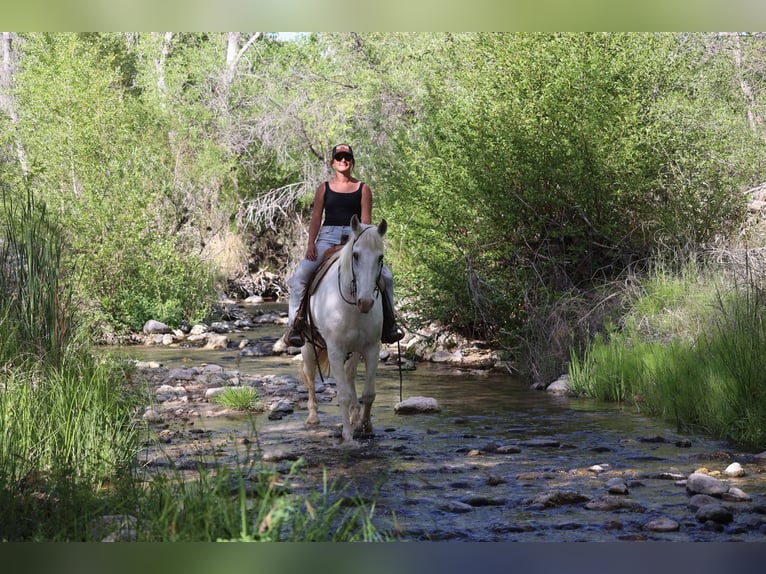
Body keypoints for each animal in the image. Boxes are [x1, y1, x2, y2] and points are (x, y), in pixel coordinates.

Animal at [300, 214, 387, 444]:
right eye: (355, 255)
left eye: (380, 257)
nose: (366, 302)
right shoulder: (335, 350)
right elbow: (343, 395)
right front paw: (348, 436)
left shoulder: (372, 348)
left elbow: (369, 393)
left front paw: (365, 426)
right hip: (308, 344)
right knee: (310, 373)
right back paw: (313, 416)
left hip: (355, 350)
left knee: (349, 375)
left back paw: (355, 417)